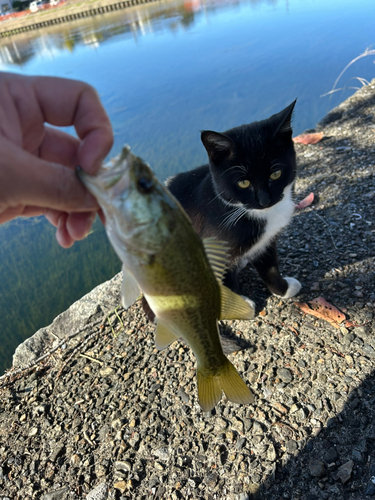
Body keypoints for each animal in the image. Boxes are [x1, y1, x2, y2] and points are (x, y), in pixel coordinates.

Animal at [167, 100, 302, 304]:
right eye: (243, 183)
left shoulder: (266, 242)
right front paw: (241, 305)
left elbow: (270, 268)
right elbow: (226, 279)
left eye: (275, 174)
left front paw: (283, 289)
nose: (264, 200)